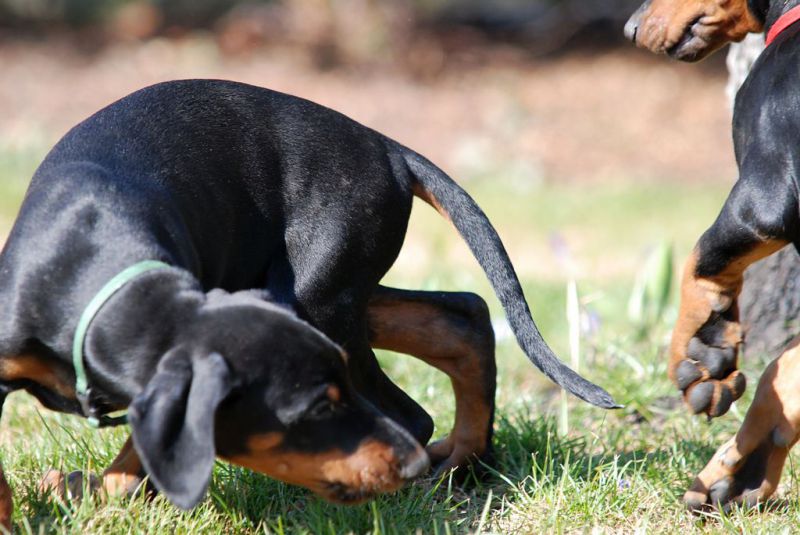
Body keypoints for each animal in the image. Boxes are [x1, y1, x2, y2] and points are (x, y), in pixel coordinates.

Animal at [0, 79, 617, 528]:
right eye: (314, 409)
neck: (91, 270)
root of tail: (389, 149)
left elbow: (144, 453)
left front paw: (91, 495)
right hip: (324, 295)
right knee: (459, 317)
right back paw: (460, 463)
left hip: (317, 293)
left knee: (411, 412)